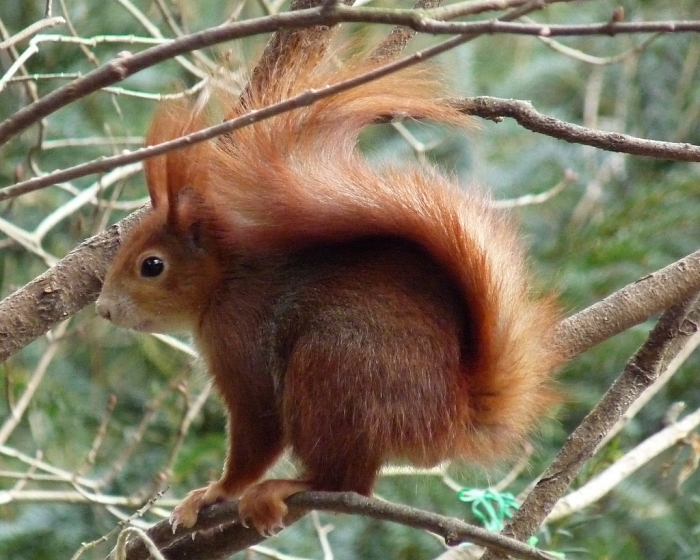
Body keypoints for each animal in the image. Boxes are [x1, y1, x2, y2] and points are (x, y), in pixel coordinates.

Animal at [96, 42, 561, 535]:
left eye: (152, 265)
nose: (103, 309)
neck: (225, 283)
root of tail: (448, 417)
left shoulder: (241, 344)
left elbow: (257, 429)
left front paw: (214, 492)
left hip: (332, 370)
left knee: (347, 482)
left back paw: (285, 487)